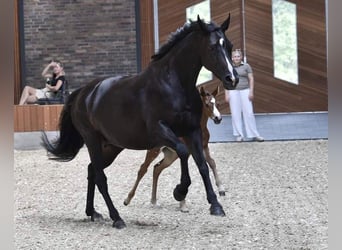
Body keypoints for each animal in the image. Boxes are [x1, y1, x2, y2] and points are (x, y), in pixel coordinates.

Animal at [42, 15, 238, 229]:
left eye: (229, 46)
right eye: (212, 47)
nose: (232, 79)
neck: (173, 85)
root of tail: (83, 92)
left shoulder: (192, 131)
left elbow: (202, 164)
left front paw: (216, 205)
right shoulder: (159, 130)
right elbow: (183, 152)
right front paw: (180, 191)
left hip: (111, 146)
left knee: (92, 170)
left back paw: (93, 212)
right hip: (92, 140)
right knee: (100, 177)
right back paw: (116, 218)